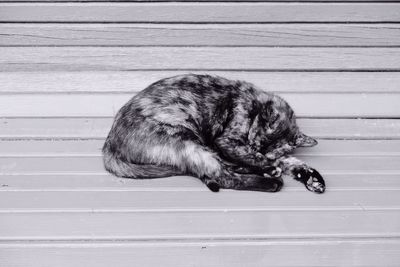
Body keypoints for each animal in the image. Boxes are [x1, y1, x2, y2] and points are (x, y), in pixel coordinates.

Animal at [102, 74, 324, 194]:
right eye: (253, 141)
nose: (254, 147)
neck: (254, 104)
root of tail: (109, 144)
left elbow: (289, 161)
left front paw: (313, 179)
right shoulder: (228, 141)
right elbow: (256, 157)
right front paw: (269, 167)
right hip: (186, 140)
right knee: (223, 176)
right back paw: (271, 181)